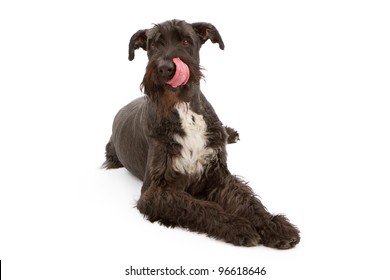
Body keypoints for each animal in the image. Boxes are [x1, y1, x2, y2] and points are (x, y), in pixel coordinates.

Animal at [104, 18, 302, 248]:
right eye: (153, 44)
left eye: (186, 41)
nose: (165, 68)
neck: (184, 108)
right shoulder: (155, 191)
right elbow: (197, 206)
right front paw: (237, 226)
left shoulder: (217, 174)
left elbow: (247, 200)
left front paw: (274, 225)